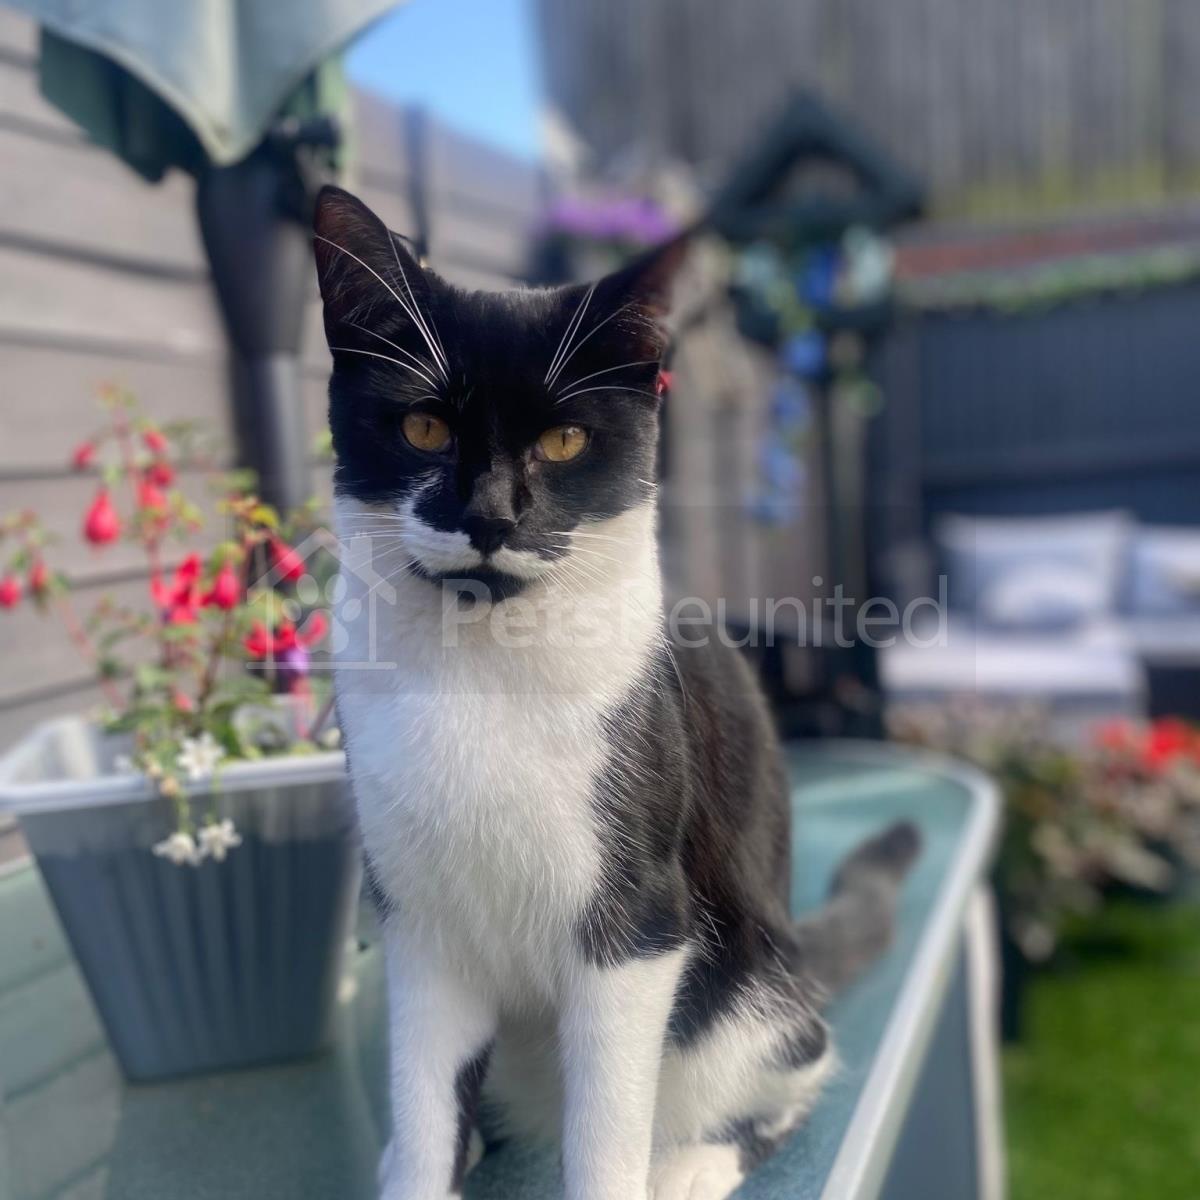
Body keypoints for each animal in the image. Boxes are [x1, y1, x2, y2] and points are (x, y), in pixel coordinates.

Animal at [313, 184, 919, 1200]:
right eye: (423, 427)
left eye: (565, 440)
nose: (491, 515)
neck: (480, 664)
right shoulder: (419, 924)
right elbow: (425, 1089)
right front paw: (422, 1158)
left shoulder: (636, 922)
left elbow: (605, 1128)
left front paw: (631, 1166)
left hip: (746, 992)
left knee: (797, 1061)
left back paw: (693, 1162)